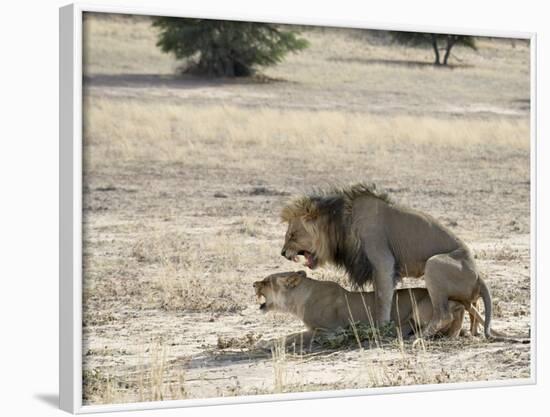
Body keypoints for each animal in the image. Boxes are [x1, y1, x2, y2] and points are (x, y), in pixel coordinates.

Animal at [254, 268, 474, 346]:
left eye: (267, 281)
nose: (254, 284)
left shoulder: (331, 331)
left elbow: (293, 336)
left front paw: (264, 344)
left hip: (422, 307)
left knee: (453, 312)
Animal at [282, 184, 494, 336]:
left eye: (292, 235)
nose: (283, 253)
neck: (340, 223)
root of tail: (478, 277)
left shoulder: (383, 262)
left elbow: (382, 299)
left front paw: (380, 328)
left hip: (434, 264)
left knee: (443, 314)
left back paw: (418, 337)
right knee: (471, 307)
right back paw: (472, 332)